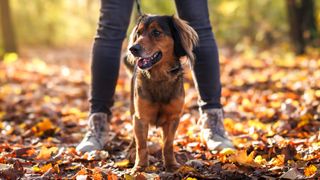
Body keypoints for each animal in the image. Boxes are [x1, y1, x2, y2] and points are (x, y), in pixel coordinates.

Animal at [124, 14, 198, 173]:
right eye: (138, 33)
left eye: (156, 32)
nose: (133, 48)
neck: (159, 77)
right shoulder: (140, 118)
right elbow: (141, 146)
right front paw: (140, 167)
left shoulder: (173, 118)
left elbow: (168, 144)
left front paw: (171, 165)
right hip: (133, 110)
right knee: (134, 137)